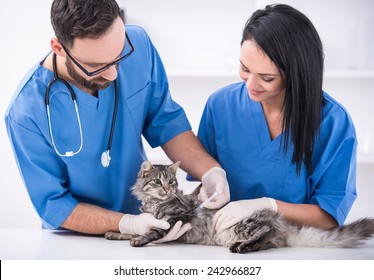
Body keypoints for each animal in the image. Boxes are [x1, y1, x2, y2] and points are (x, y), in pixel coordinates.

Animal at [104, 160, 374, 254]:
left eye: (171, 182)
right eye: (158, 182)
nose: (167, 190)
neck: (154, 204)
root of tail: (281, 222)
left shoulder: (175, 220)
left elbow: (151, 231)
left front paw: (138, 240)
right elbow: (136, 227)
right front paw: (118, 232)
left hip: (247, 222)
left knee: (266, 233)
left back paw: (243, 247)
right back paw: (244, 246)